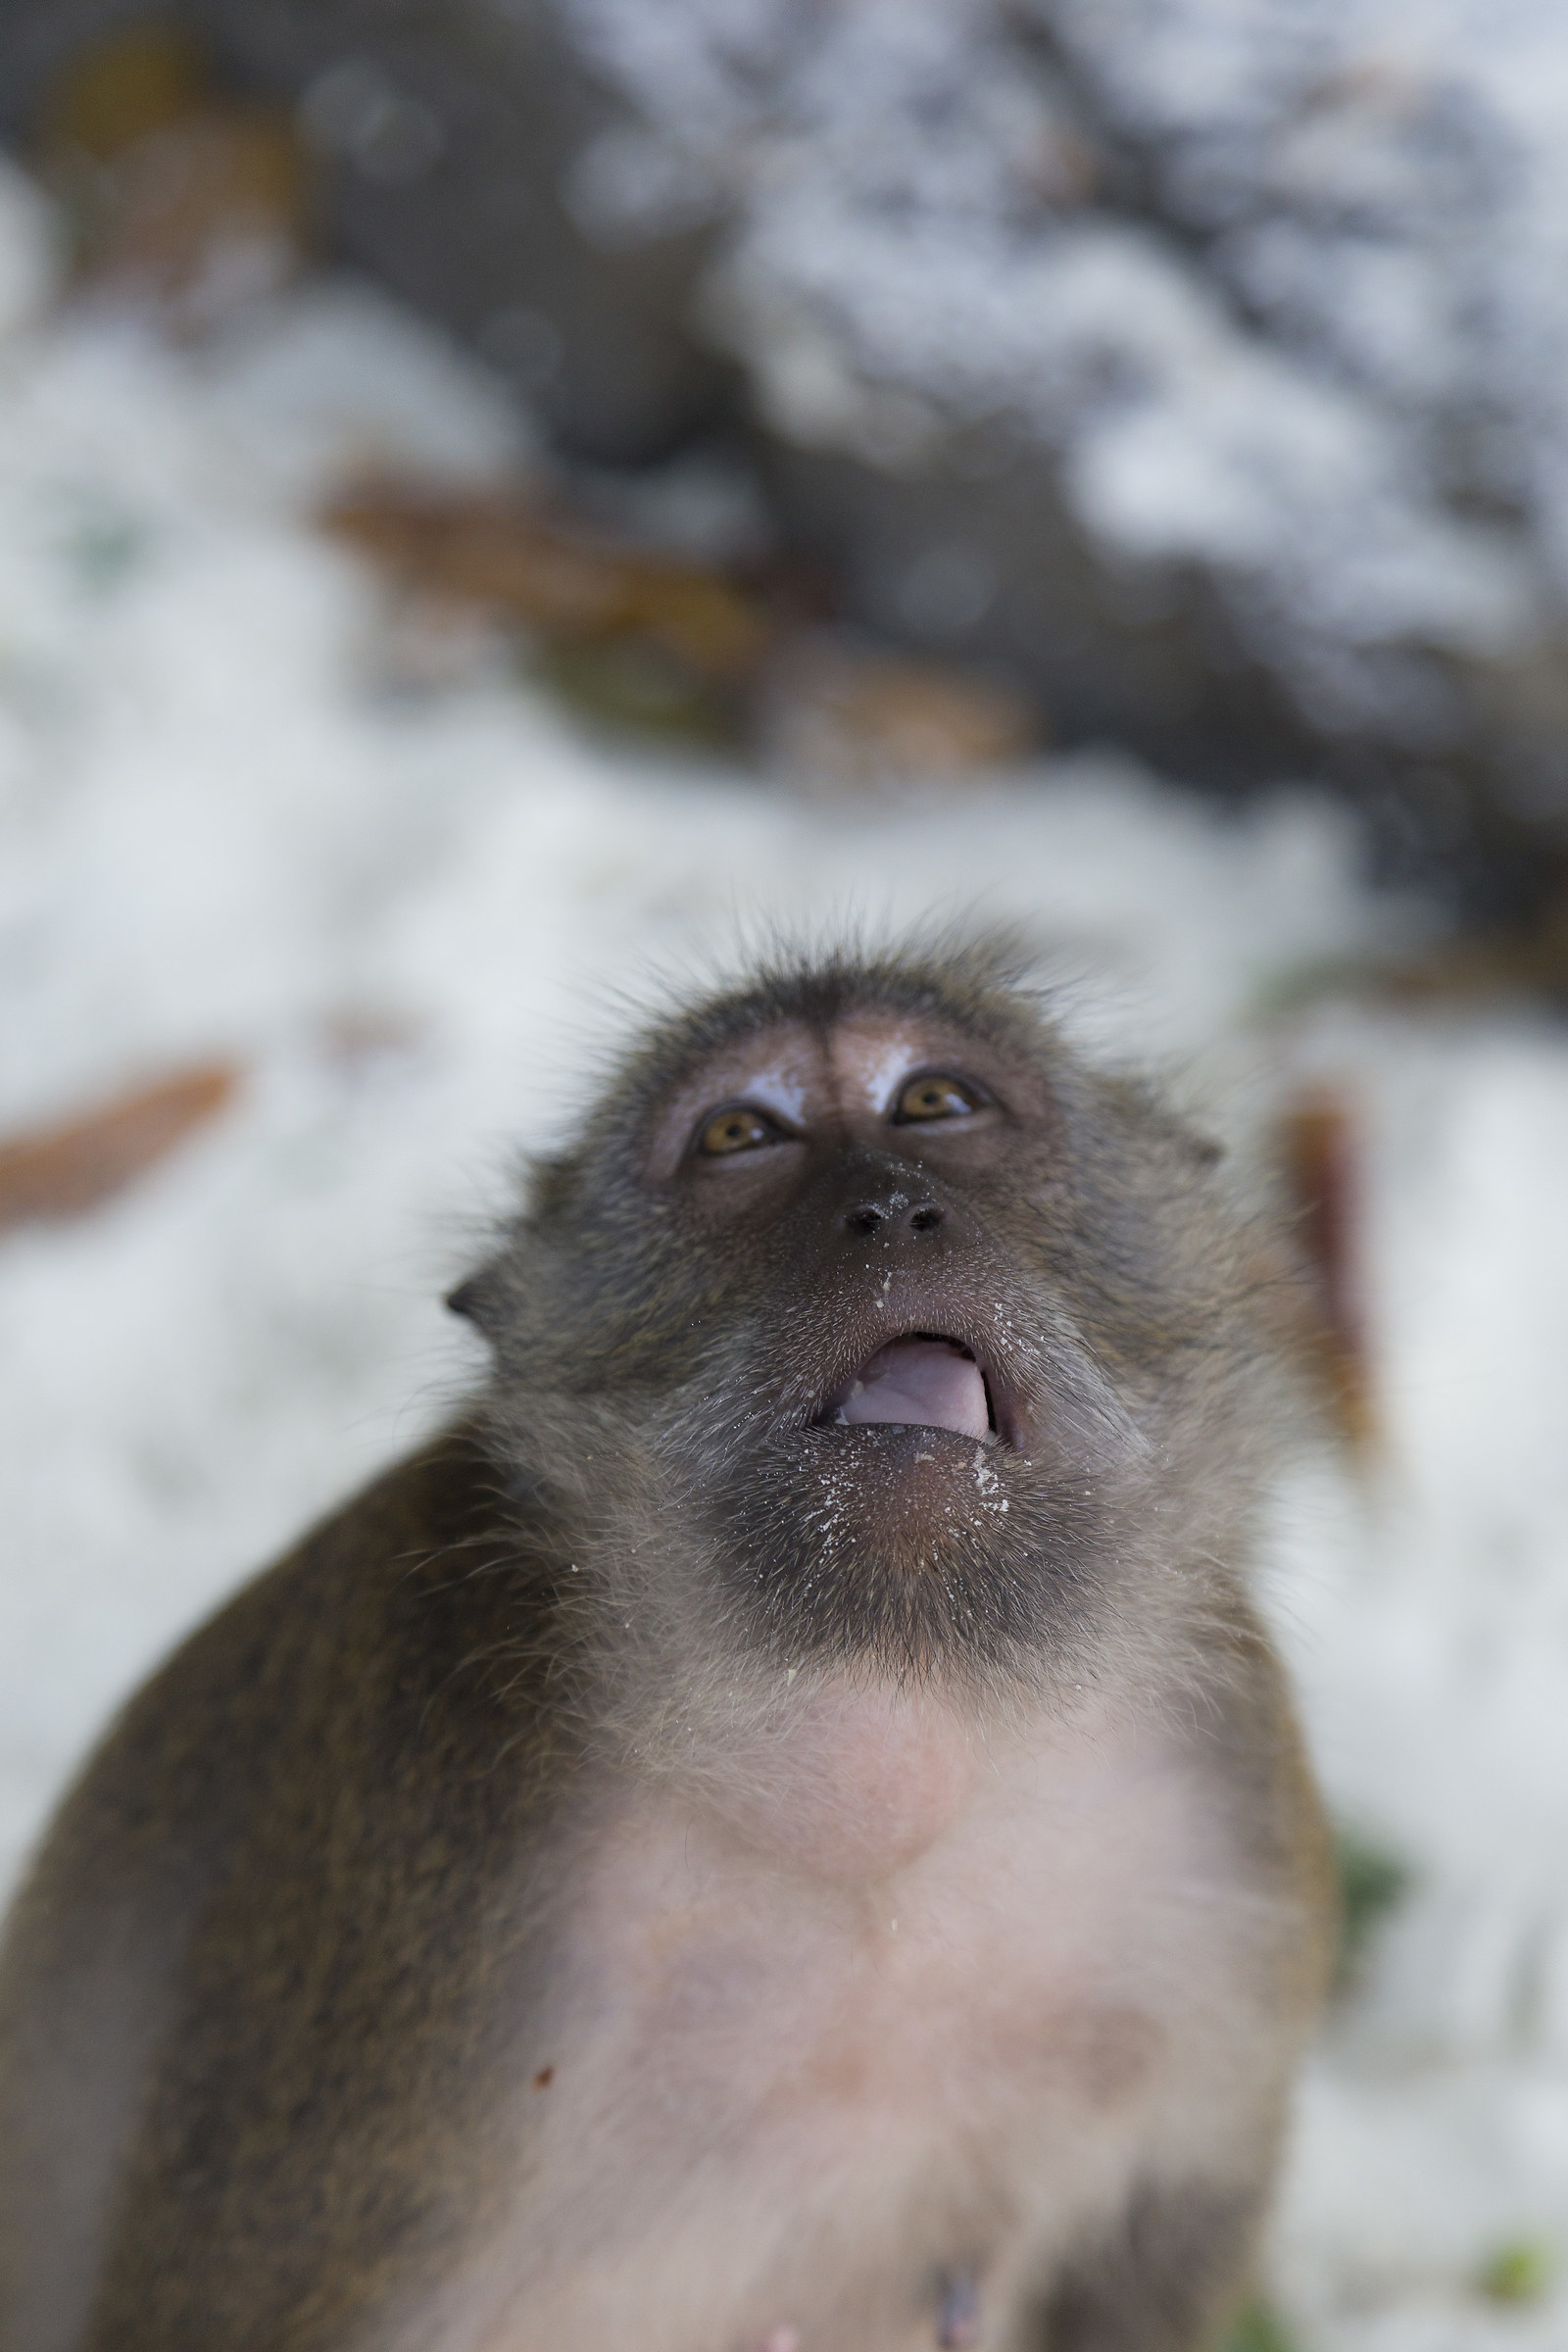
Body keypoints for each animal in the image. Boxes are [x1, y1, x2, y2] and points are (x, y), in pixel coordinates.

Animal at [0, 934, 1336, 2352]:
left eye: (936, 1103)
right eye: (741, 1134)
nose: (889, 1210)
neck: (880, 1768)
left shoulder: (1228, 1819)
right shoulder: (426, 1881)